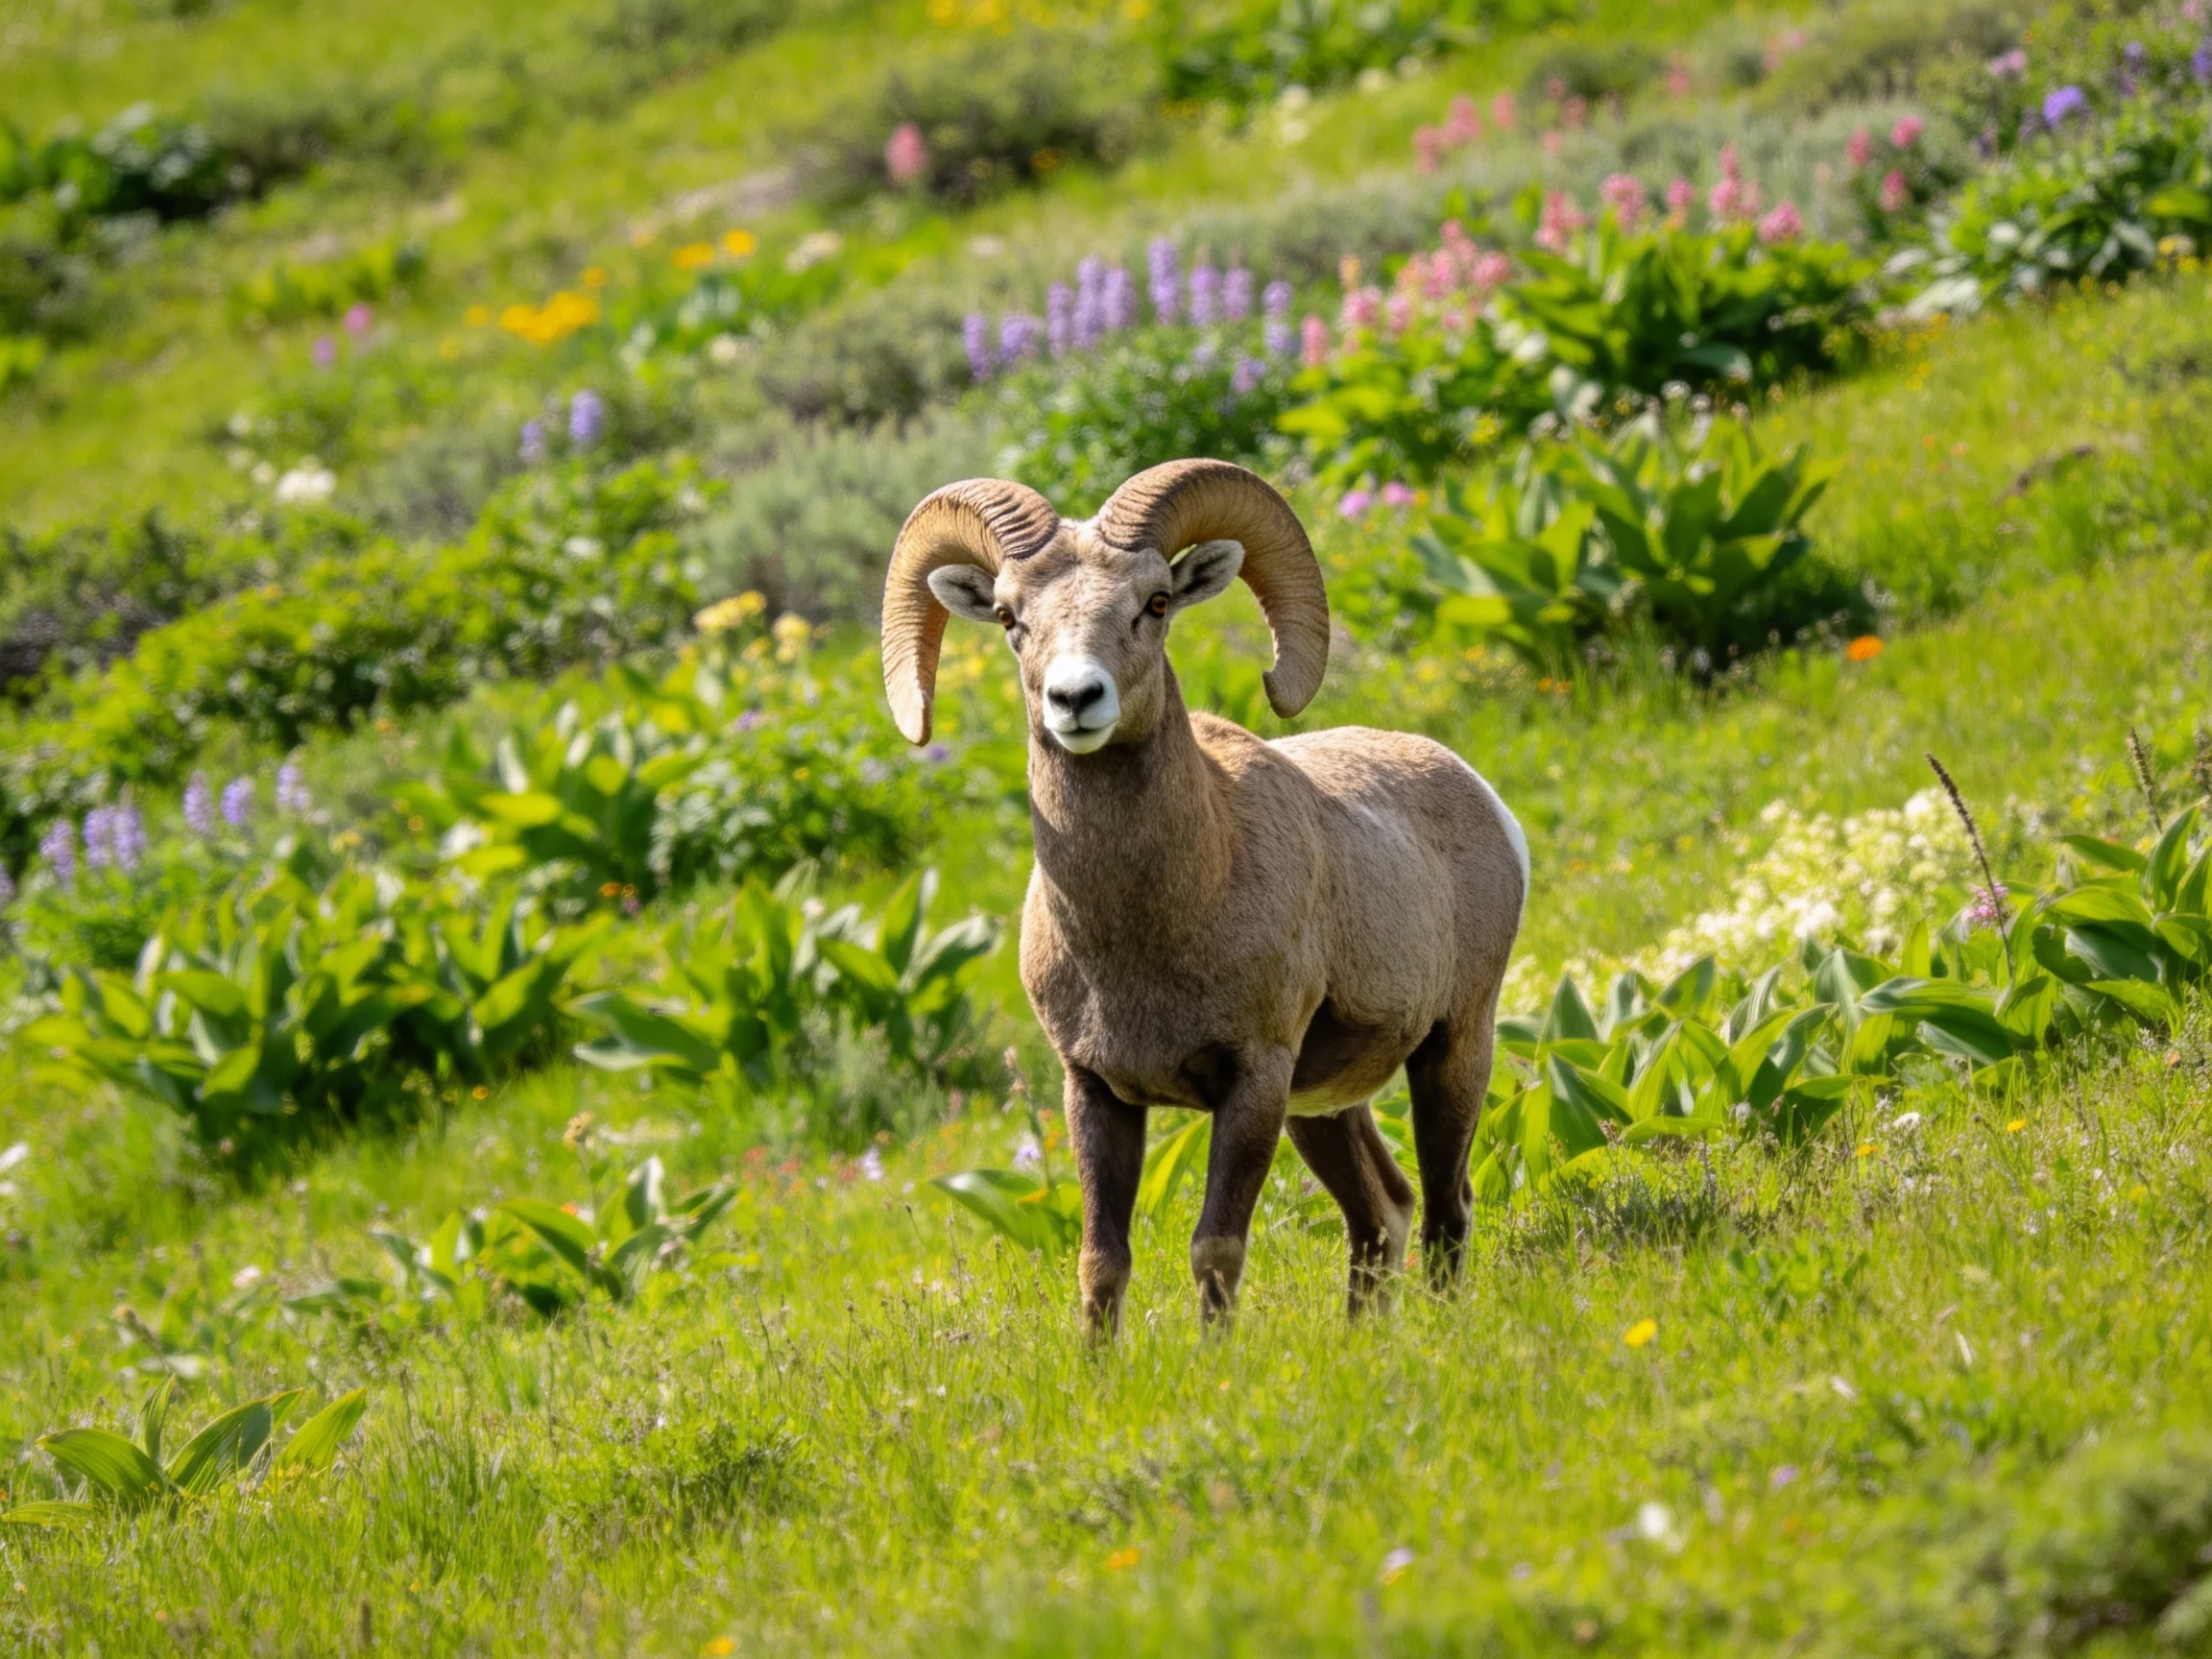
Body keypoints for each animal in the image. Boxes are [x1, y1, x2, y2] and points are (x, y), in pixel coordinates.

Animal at [881, 459, 1527, 1331]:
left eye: (1155, 604)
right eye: (1011, 618)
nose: (1075, 700)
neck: (1147, 933)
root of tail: (1482, 796)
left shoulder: (1252, 1082)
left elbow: (1215, 1250)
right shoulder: (1096, 1093)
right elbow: (1101, 1262)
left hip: (1454, 1048)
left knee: (1445, 1206)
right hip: (1323, 1107)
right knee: (1381, 1213)